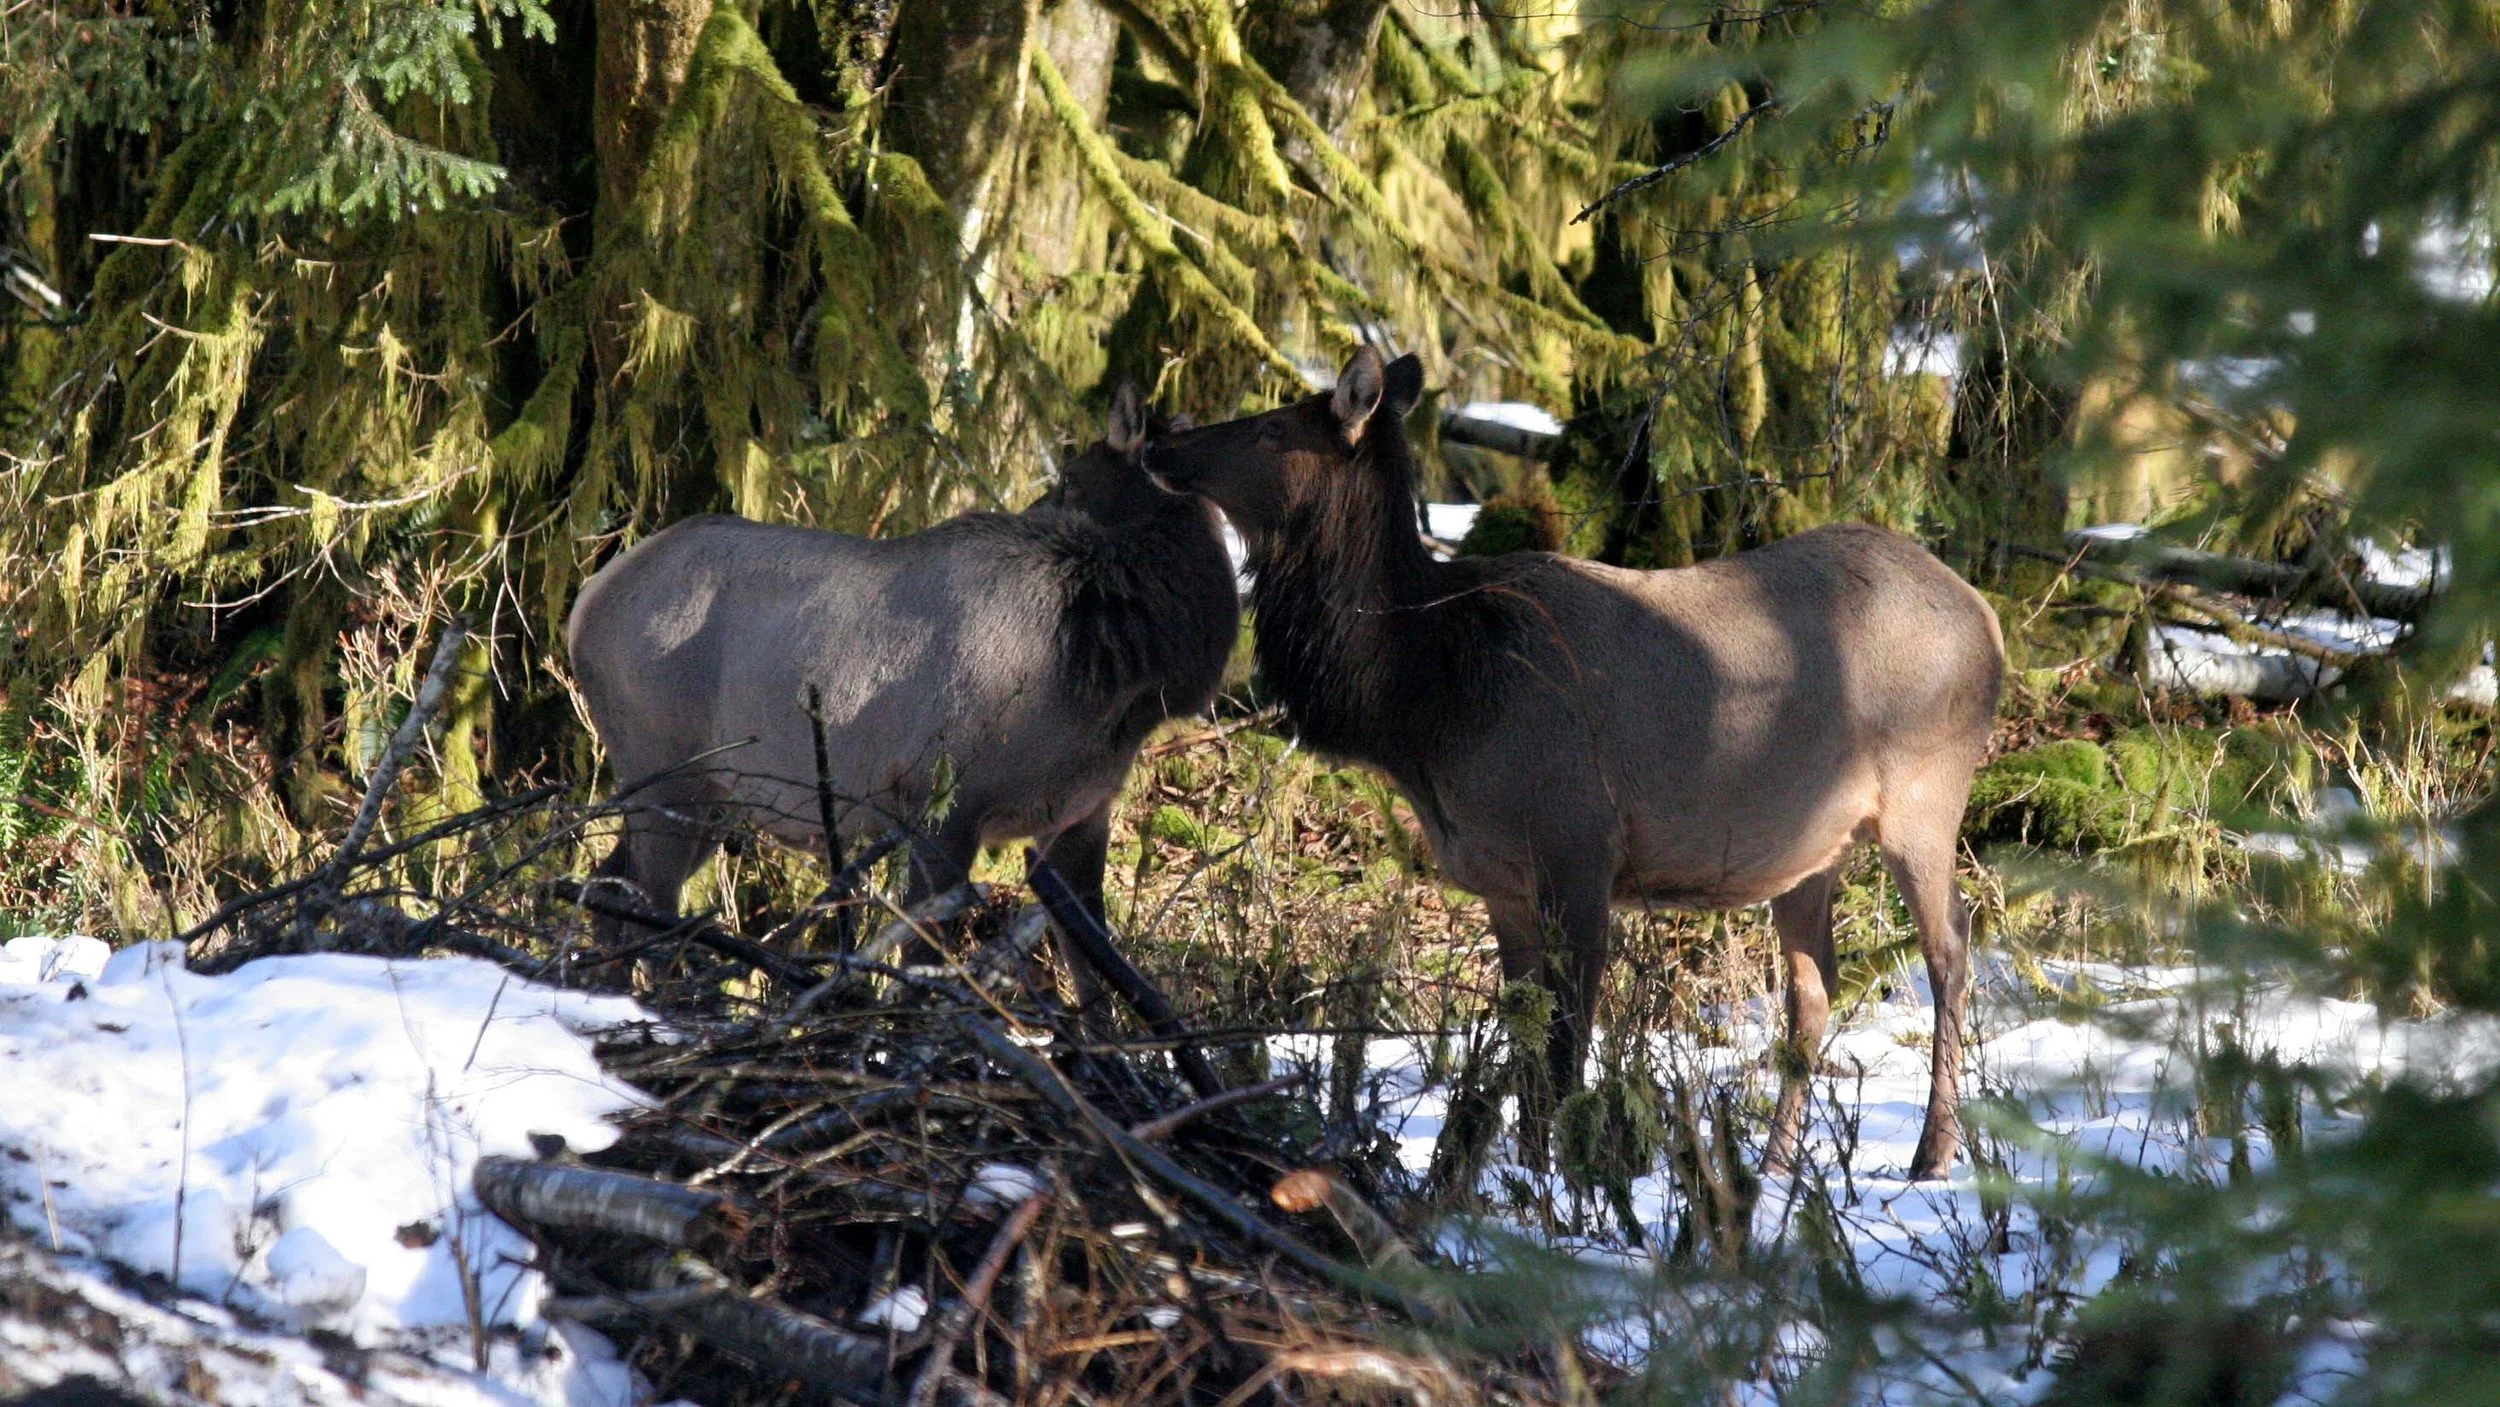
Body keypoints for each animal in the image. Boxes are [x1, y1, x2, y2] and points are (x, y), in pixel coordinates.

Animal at [566, 385, 1239, 955]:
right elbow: (921, 960)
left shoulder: (1079, 817)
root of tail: (584, 603)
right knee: (645, 910)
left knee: (606, 885)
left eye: (1072, 480)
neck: (1108, 677)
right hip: (664, 770)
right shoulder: (941, 802)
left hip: (713, 794)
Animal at [1139, 348, 2004, 1178]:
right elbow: (1525, 1041)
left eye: (1271, 429)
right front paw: (1523, 1177)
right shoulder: (1503, 879)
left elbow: (1564, 1053)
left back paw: (1932, 1151)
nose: (1158, 440)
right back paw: (1776, 1164)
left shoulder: (1579, 843)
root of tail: (1988, 622)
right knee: (1813, 984)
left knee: (1952, 949)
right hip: (1807, 845)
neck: (1425, 699)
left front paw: (1566, 1186)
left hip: (1926, 790)